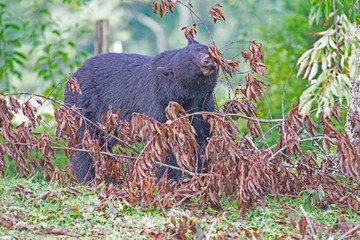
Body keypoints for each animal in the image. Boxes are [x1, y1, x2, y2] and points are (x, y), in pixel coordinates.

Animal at [63, 35, 218, 182]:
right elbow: (162, 143)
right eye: (189, 63)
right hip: (84, 107)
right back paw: (88, 178)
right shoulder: (158, 104)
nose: (207, 60)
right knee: (85, 145)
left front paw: (204, 172)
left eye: (201, 49)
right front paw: (168, 178)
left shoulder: (204, 106)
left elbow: (203, 137)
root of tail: (72, 77)